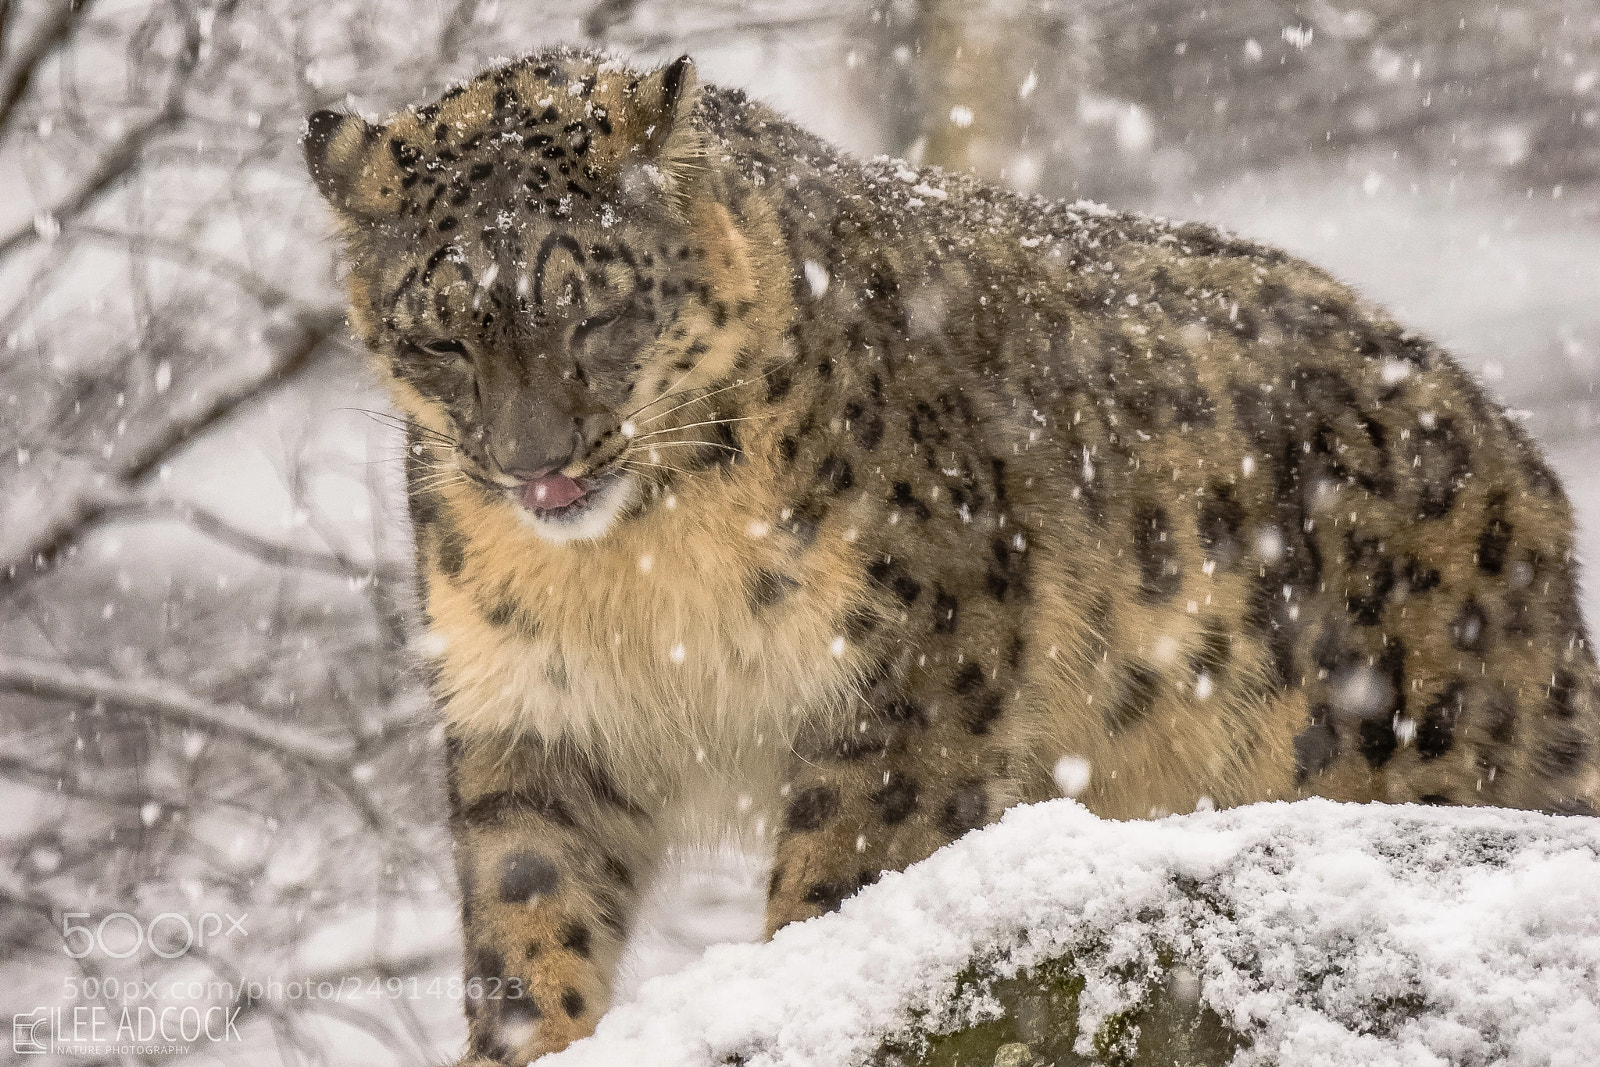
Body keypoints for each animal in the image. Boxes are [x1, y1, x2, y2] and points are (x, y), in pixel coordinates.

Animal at [302, 48, 1600, 1061]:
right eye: (441, 334)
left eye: (596, 308)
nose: (535, 462)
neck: (636, 573)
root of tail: (1525, 475)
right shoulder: (531, 709)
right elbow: (531, 910)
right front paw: (532, 1034)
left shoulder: (910, 675)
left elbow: (840, 872)